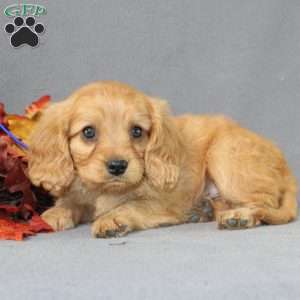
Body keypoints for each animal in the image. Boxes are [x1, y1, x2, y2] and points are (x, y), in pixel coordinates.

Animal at [27, 81, 298, 238]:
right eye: (88, 132)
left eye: (137, 131)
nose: (118, 166)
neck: (102, 191)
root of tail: (286, 168)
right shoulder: (79, 194)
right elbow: (71, 202)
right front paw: (54, 213)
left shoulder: (161, 202)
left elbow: (131, 205)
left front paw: (113, 218)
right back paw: (203, 211)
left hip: (225, 155)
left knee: (264, 204)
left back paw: (240, 216)